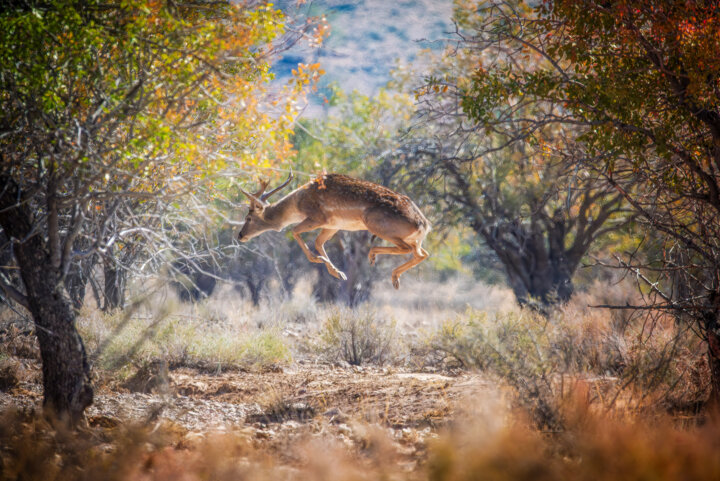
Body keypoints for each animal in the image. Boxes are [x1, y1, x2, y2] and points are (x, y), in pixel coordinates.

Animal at [236, 172, 430, 288]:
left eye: (248, 218)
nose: (240, 235)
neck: (298, 204)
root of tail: (424, 224)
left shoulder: (318, 217)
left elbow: (294, 231)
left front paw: (317, 259)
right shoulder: (333, 225)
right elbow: (318, 242)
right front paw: (338, 273)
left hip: (376, 224)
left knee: (409, 250)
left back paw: (374, 257)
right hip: (414, 239)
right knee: (423, 253)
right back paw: (395, 278)